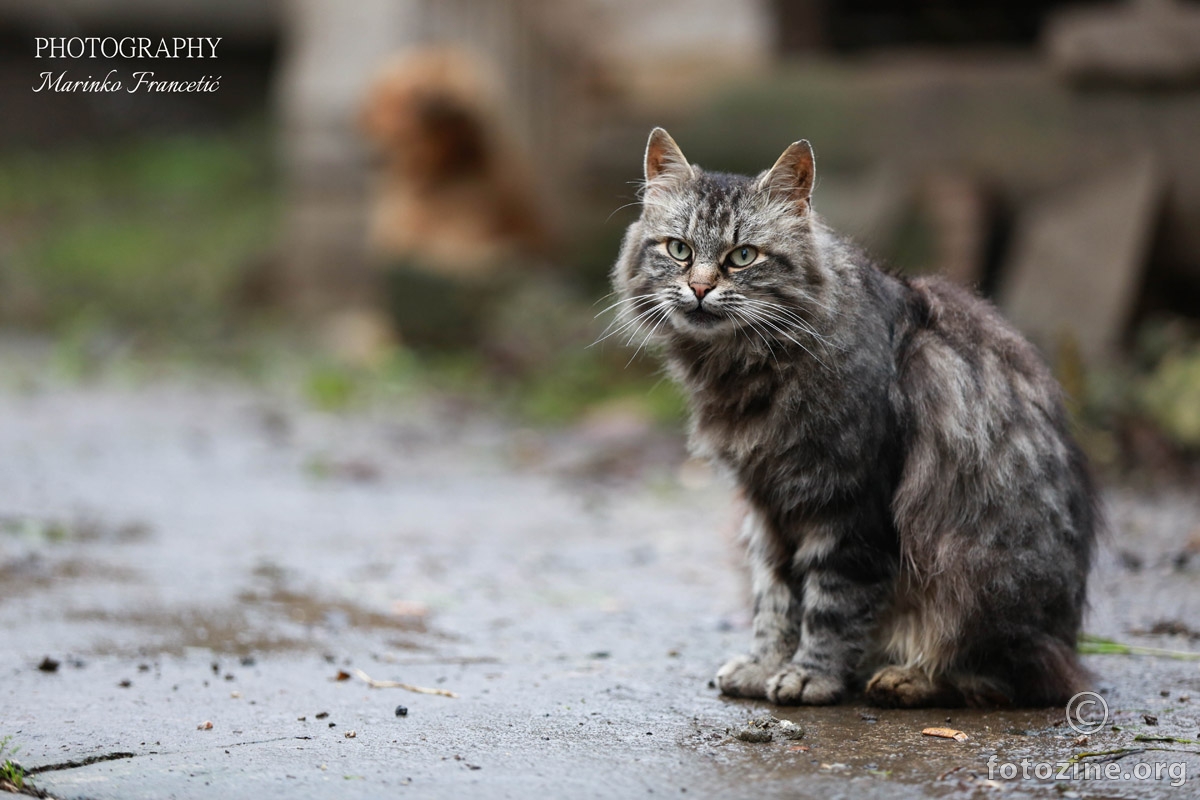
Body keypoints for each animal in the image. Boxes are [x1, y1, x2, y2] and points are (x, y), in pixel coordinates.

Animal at [609, 130, 1099, 705]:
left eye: (742, 256)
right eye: (679, 250)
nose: (701, 288)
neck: (750, 367)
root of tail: (1064, 640)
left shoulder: (849, 504)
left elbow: (830, 606)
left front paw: (809, 676)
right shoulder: (767, 505)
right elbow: (773, 600)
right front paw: (764, 666)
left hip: (977, 583)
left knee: (1000, 673)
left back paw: (907, 678)